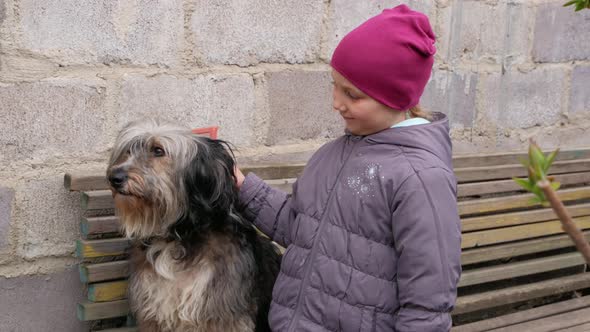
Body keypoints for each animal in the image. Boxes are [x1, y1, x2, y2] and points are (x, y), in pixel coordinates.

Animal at [108, 118, 282, 330]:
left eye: (158, 150)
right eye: (127, 151)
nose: (114, 178)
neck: (178, 235)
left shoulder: (224, 316)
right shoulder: (153, 312)